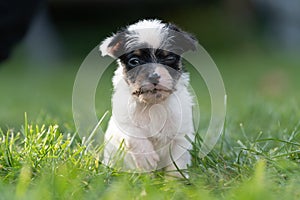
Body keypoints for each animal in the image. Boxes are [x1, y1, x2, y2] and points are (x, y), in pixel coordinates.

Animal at [99, 19, 196, 178]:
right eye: (134, 61)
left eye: (169, 58)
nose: (153, 76)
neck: (153, 104)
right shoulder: (123, 120)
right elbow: (133, 134)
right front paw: (146, 158)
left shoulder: (181, 134)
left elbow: (177, 162)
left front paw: (175, 181)